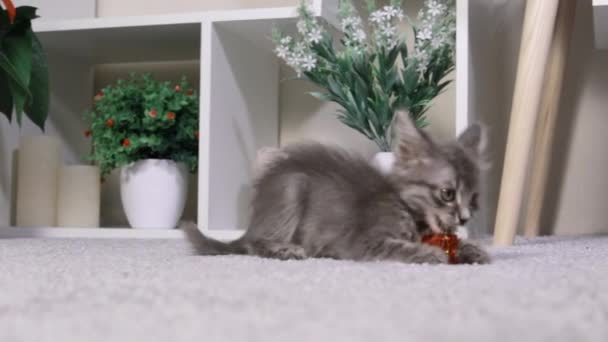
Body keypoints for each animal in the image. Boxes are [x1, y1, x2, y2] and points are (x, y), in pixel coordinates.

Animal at [188, 111, 492, 264]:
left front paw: (472, 249)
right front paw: (430, 253)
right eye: (447, 194)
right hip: (293, 186)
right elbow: (400, 248)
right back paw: (285, 250)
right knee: (253, 244)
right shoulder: (363, 243)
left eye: (474, 199)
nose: (465, 218)